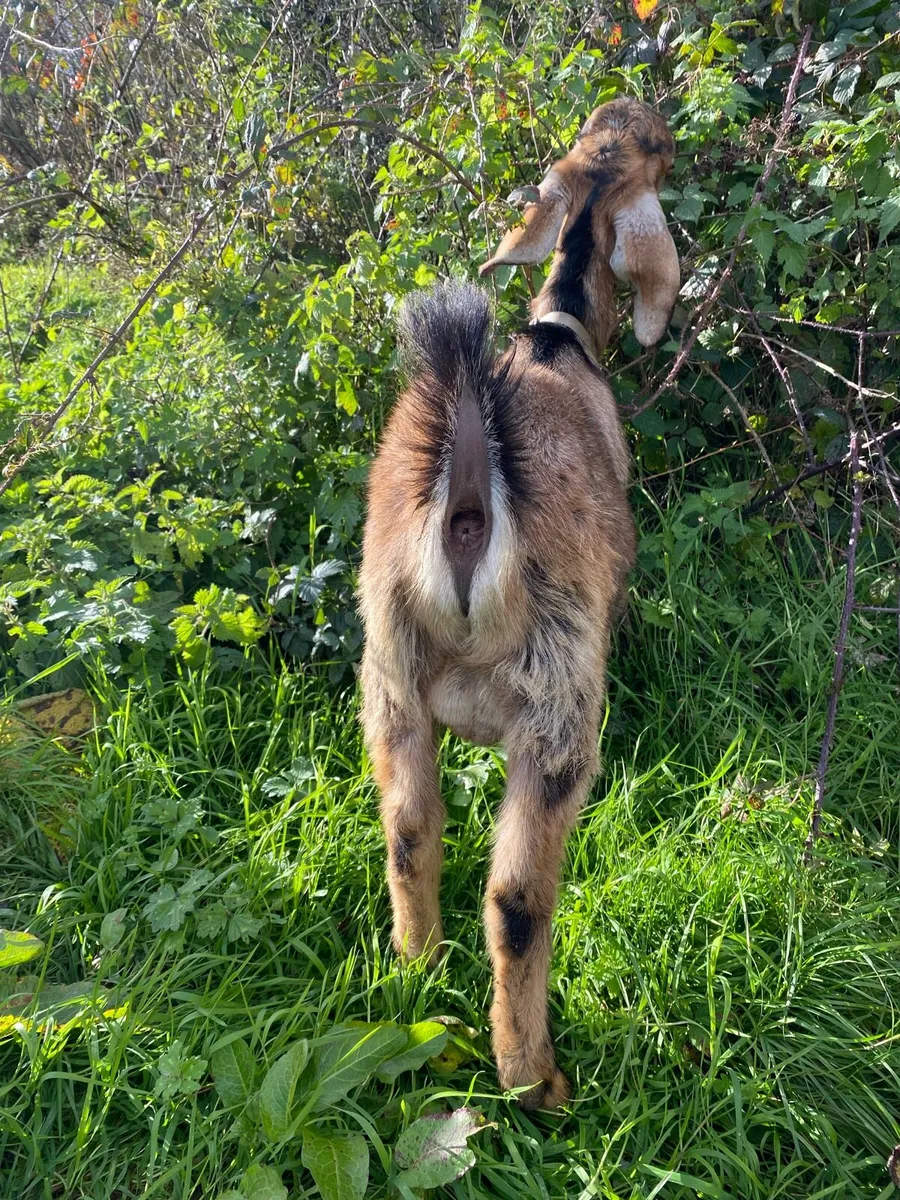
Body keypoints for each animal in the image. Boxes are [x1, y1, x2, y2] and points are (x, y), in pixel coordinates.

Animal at [358, 97, 679, 1109]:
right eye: (658, 158)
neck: (557, 334)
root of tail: (468, 482)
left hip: (390, 672)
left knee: (410, 831)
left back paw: (417, 969)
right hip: (557, 702)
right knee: (516, 903)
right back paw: (535, 1080)